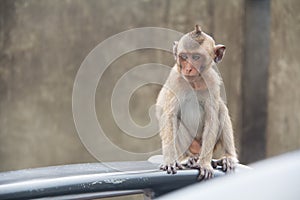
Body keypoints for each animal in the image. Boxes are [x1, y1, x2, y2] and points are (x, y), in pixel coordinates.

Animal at [156, 24, 238, 180]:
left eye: (196, 57)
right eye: (184, 57)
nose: (188, 68)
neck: (194, 83)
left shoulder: (213, 82)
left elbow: (212, 118)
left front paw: (204, 164)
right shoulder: (175, 80)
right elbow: (169, 117)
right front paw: (170, 161)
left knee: (221, 110)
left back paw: (227, 157)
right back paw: (187, 159)